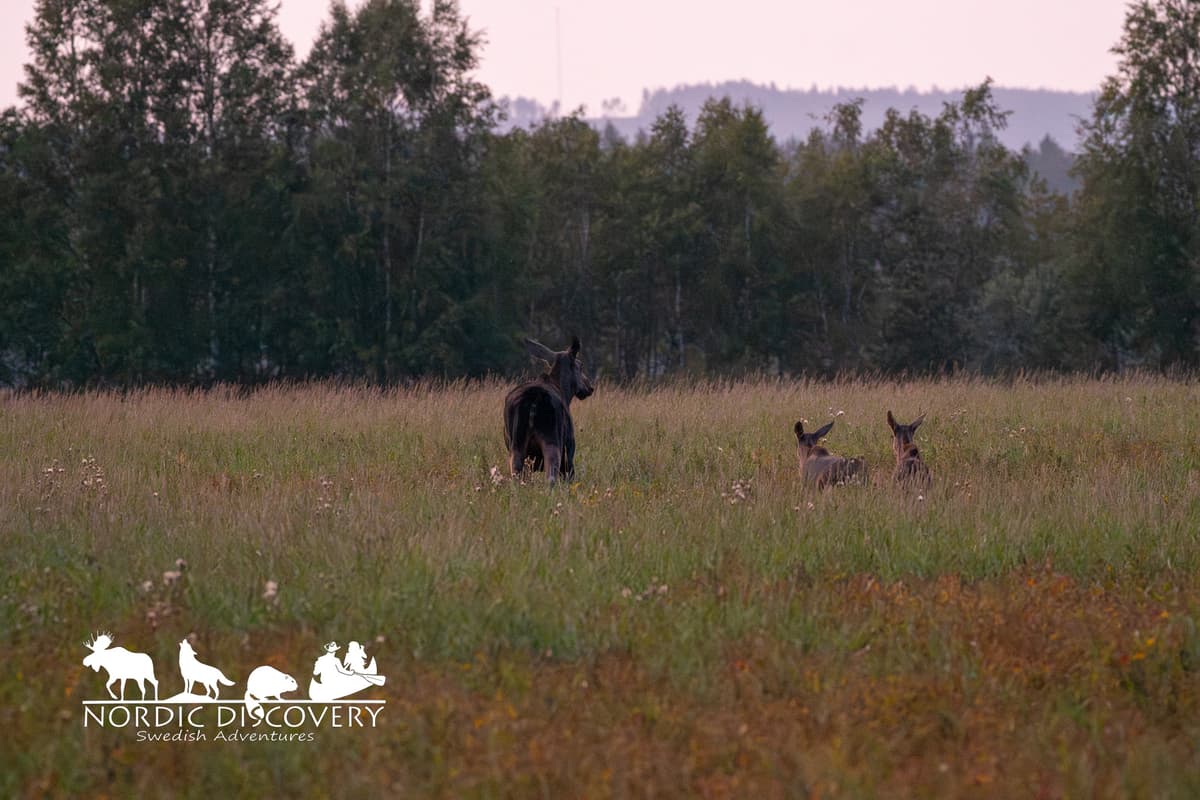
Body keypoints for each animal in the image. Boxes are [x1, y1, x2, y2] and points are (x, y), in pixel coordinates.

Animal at [504, 336, 595, 485]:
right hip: (552, 442)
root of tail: (534, 398)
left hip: (516, 445)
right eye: (580, 366)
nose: (590, 387)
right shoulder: (569, 449)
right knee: (551, 476)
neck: (564, 390)